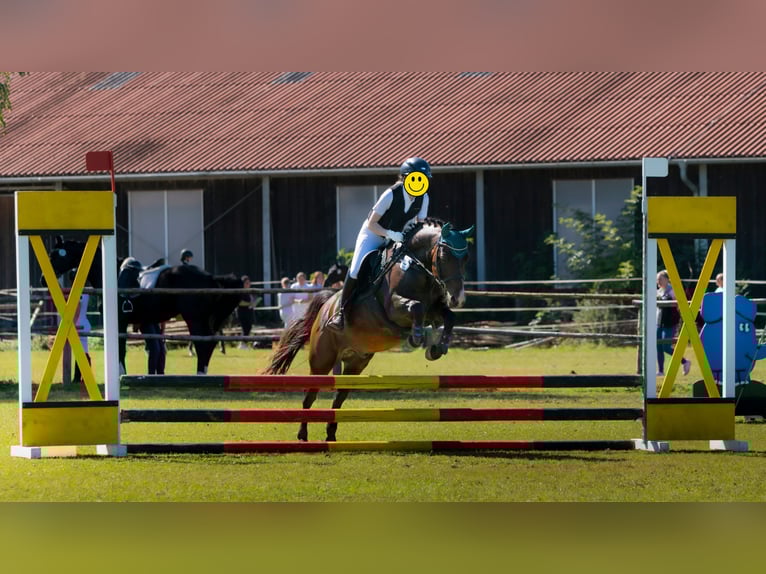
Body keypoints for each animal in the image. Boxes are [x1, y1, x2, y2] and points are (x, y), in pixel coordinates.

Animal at [47, 237, 243, 375]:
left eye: (56, 255)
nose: (43, 279)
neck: (109, 274)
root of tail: (210, 277)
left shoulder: (120, 322)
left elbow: (120, 350)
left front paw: (121, 374)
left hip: (194, 319)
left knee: (204, 344)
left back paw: (200, 374)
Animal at [264, 218, 474, 442]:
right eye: (443, 256)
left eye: (466, 257)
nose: (458, 298)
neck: (416, 268)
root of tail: (325, 307)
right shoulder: (394, 307)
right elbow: (416, 307)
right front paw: (416, 337)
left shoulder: (434, 310)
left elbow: (449, 317)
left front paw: (437, 348)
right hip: (322, 360)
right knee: (309, 395)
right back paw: (303, 435)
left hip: (356, 364)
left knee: (338, 398)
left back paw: (330, 435)